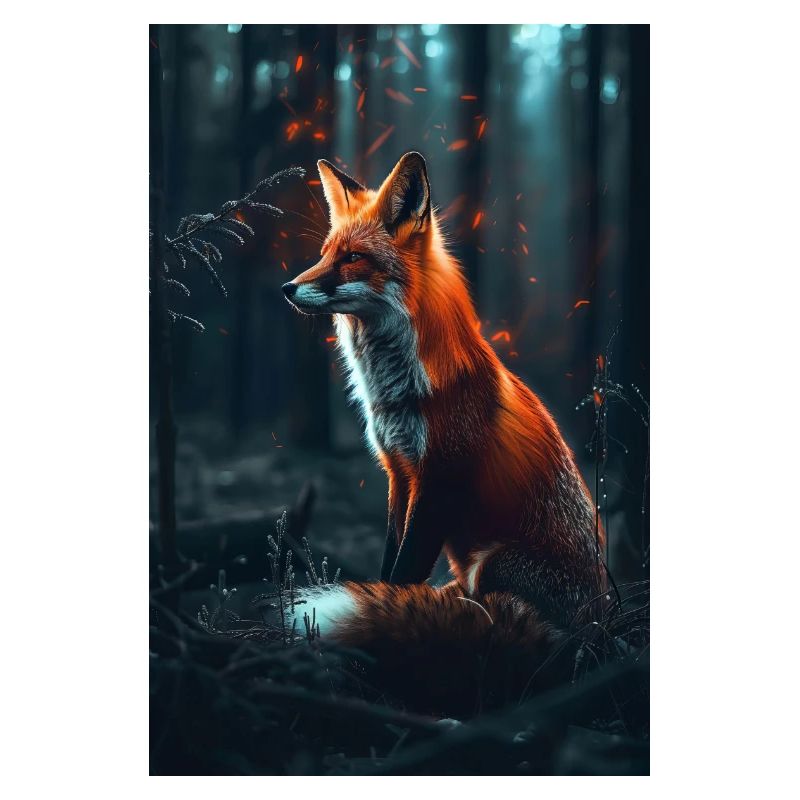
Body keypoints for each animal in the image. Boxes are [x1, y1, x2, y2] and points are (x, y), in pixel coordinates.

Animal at [282, 152, 606, 713]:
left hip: (490, 564)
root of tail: (602, 622)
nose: (287, 288)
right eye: (324, 255)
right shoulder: (400, 473)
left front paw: (379, 648)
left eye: (352, 258)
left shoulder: (440, 482)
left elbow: (404, 575)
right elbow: (389, 567)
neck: (399, 393)